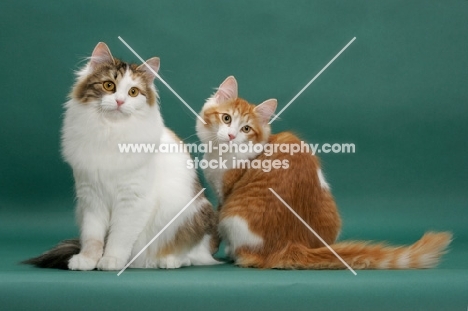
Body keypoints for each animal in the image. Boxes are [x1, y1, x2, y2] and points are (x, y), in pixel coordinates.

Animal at [26, 42, 221, 272]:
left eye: (133, 92)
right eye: (109, 86)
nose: (119, 101)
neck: (110, 133)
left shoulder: (132, 200)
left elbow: (119, 237)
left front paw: (111, 260)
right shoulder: (92, 198)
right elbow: (93, 238)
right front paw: (88, 260)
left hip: (190, 216)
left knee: (193, 255)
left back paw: (167, 260)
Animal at [196, 76, 452, 270]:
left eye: (246, 129)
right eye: (226, 118)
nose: (231, 135)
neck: (221, 152)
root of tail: (292, 244)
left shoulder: (223, 194)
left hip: (231, 217)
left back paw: (235, 254)